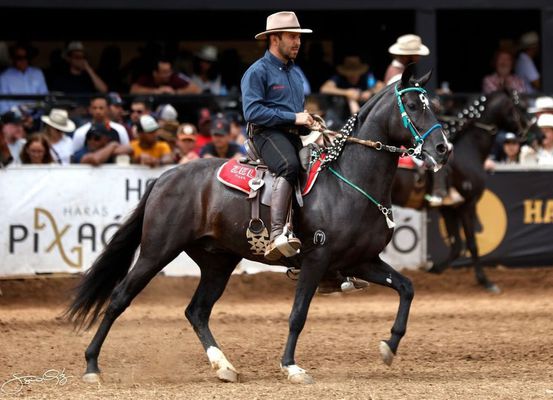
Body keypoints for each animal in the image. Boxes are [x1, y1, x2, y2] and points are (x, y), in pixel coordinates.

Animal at [67, 65, 450, 384]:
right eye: (412, 106)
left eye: (432, 105)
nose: (443, 148)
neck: (348, 182)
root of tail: (166, 177)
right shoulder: (317, 260)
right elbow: (298, 314)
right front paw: (292, 367)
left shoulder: (362, 261)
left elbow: (406, 288)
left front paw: (389, 346)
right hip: (156, 251)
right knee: (119, 298)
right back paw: (92, 366)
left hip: (217, 261)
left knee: (197, 311)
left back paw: (223, 366)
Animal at [390, 89, 524, 292]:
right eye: (519, 105)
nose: (533, 128)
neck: (468, 149)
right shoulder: (468, 204)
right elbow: (471, 244)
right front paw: (485, 281)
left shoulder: (449, 208)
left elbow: (456, 246)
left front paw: (433, 269)